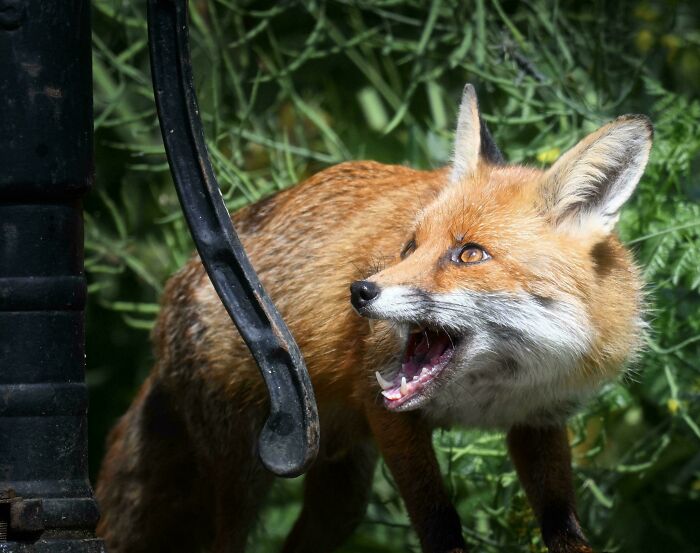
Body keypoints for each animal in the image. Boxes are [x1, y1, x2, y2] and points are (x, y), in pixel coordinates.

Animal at [95, 84, 652, 553]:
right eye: (409, 246)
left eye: (470, 254)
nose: (360, 291)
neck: (495, 391)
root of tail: (168, 307)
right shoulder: (387, 412)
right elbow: (439, 520)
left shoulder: (540, 422)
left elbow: (563, 524)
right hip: (243, 480)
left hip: (342, 498)